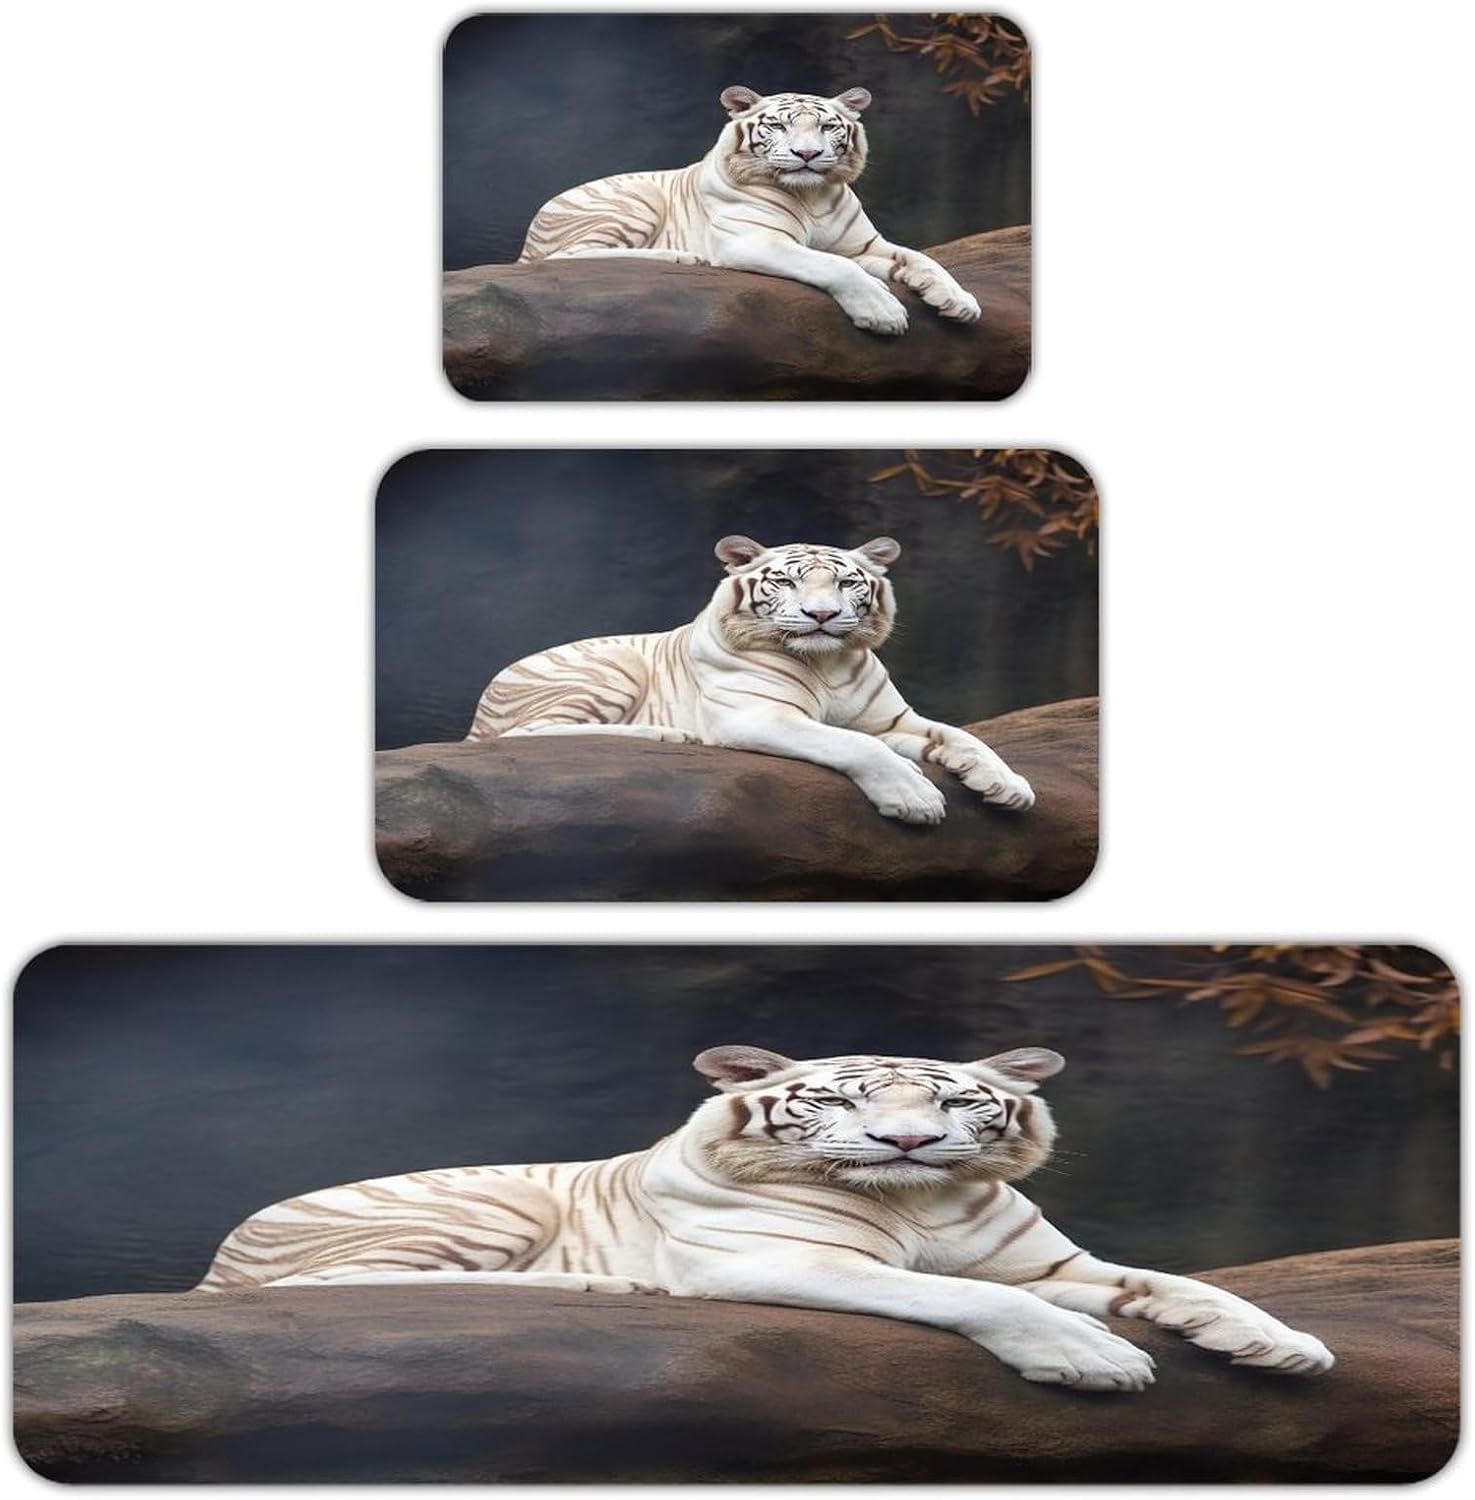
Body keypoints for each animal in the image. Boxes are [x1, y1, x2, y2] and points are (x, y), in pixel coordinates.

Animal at [199, 1043, 1334, 1394]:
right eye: (838, 1099)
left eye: (960, 1102)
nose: (907, 1143)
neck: (921, 1202)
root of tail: (222, 1252)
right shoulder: (783, 1261)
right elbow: (966, 1298)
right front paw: (1092, 1359)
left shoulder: (1051, 1264)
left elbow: (1176, 1281)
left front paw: (1279, 1344)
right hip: (489, 1199)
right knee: (339, 1287)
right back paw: (602, 1280)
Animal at [463, 534, 1034, 826]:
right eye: (786, 581)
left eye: (847, 583)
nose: (822, 615)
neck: (826, 663)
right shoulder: (759, 715)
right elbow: (854, 745)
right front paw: (915, 798)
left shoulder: (892, 720)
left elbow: (964, 737)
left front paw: (1009, 786)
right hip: (611, 669)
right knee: (522, 735)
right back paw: (667, 733)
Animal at [517, 85, 981, 337]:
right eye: (778, 125)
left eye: (828, 126)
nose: (808, 154)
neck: (811, 196)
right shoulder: (755, 240)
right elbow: (834, 266)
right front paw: (883, 312)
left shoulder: (865, 245)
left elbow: (923, 260)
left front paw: (959, 301)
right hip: (637, 199)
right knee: (562, 258)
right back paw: (681, 256)